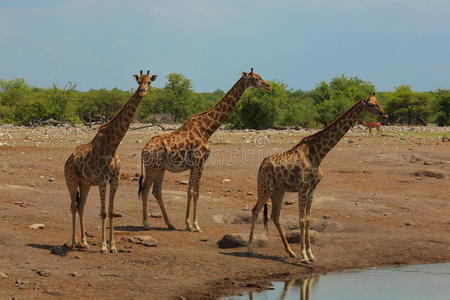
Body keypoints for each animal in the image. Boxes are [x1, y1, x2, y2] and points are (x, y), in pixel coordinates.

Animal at [64, 69, 157, 252]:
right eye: (138, 81)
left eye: (149, 82)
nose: (142, 91)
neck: (113, 146)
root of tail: (68, 160)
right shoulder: (102, 180)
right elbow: (103, 212)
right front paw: (103, 247)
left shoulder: (115, 180)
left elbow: (112, 211)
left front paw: (113, 246)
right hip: (71, 179)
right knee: (72, 206)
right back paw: (73, 241)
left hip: (85, 183)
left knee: (81, 206)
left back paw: (84, 242)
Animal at [138, 68, 270, 232]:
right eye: (255, 79)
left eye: (260, 76)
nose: (268, 86)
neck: (207, 129)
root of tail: (144, 150)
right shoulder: (200, 162)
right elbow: (196, 192)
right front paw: (196, 225)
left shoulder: (193, 165)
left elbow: (189, 191)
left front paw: (188, 223)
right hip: (152, 167)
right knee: (145, 189)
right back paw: (146, 223)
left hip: (160, 168)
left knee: (156, 191)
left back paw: (170, 223)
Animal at [248, 92, 388, 262]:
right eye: (372, 104)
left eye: (378, 102)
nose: (385, 114)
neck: (317, 155)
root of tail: (261, 164)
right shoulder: (302, 188)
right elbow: (301, 220)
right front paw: (304, 255)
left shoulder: (312, 189)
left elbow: (308, 220)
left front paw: (310, 254)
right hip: (265, 187)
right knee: (255, 210)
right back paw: (250, 249)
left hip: (278, 190)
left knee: (275, 216)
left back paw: (290, 251)